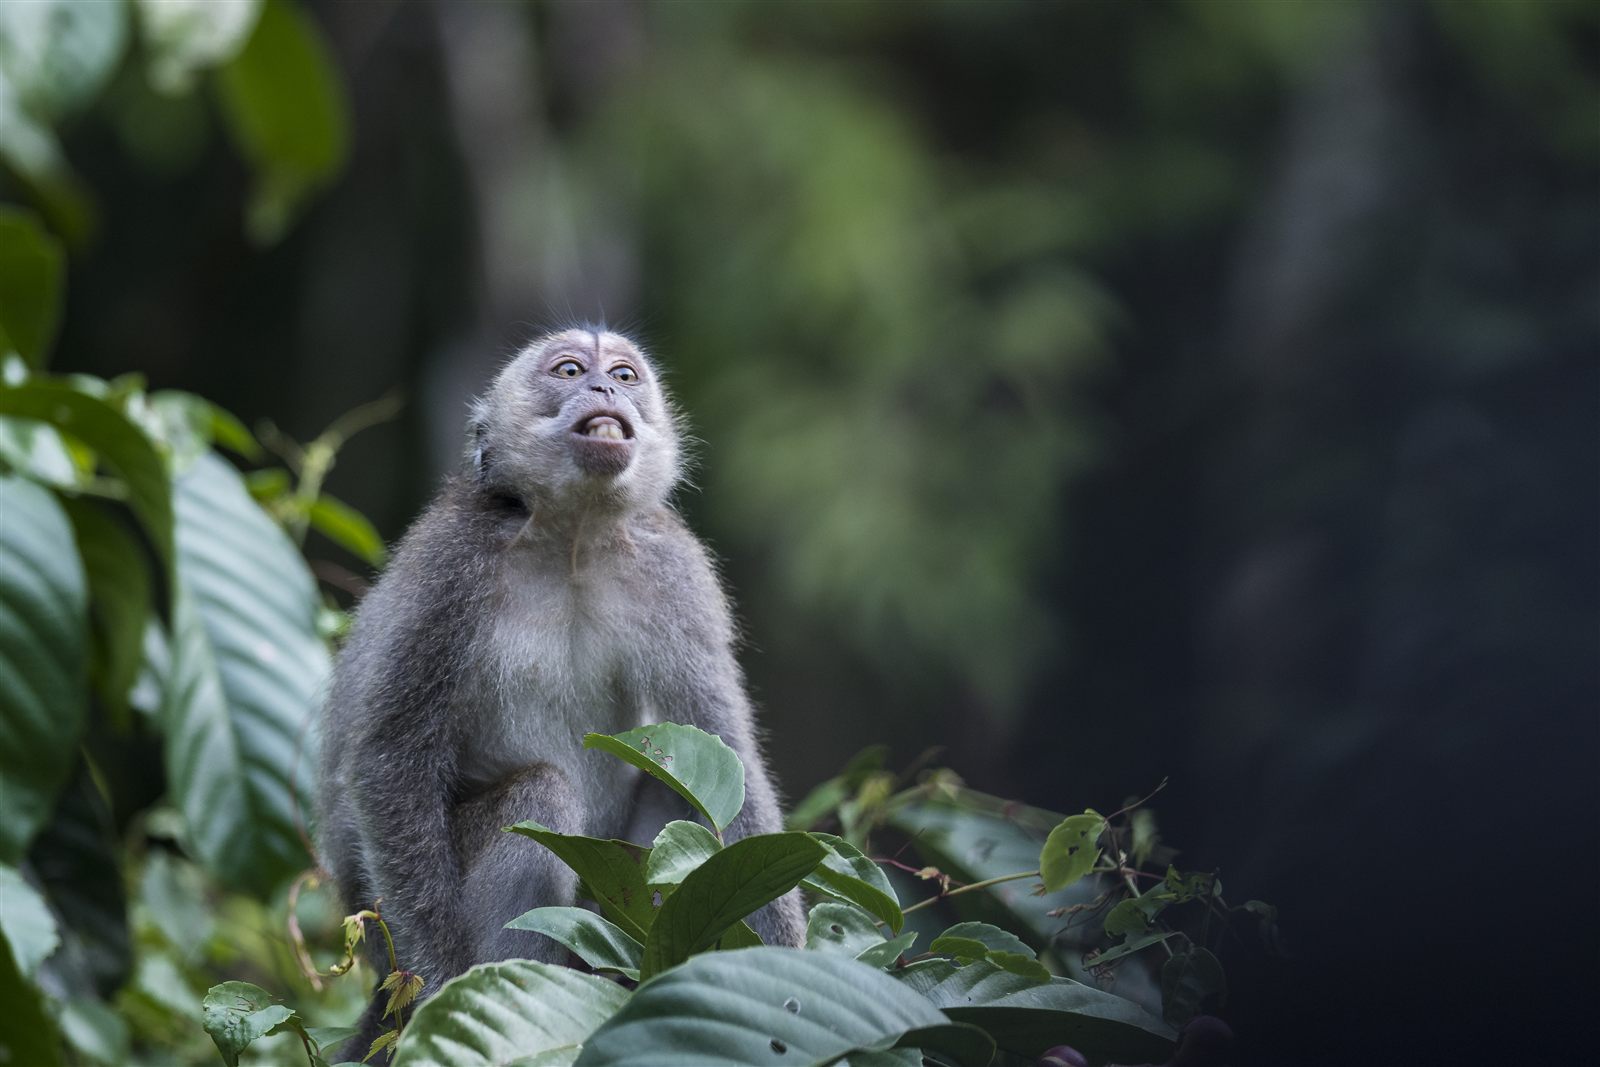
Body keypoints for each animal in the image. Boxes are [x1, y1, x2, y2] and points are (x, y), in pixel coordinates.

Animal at [315, 328, 805, 1053]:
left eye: (625, 375)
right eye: (570, 370)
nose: (603, 387)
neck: (571, 539)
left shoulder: (673, 569)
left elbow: (725, 757)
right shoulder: (450, 565)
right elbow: (388, 759)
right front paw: (440, 981)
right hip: (383, 925)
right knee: (539, 797)